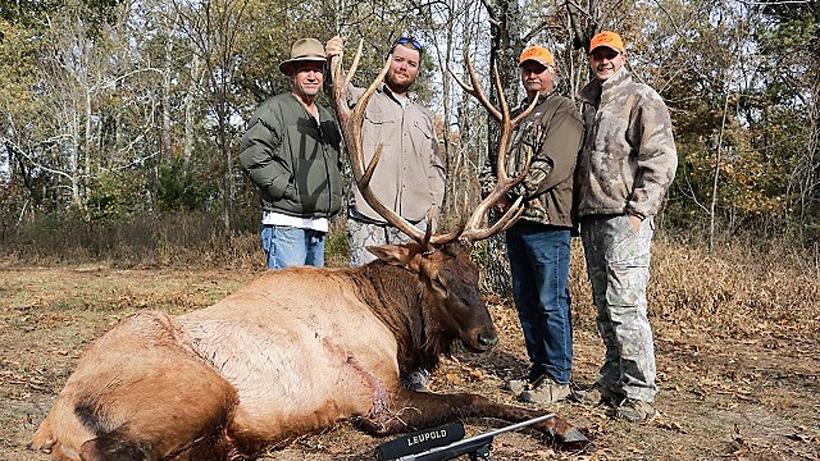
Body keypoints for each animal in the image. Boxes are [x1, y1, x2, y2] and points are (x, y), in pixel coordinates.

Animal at [29, 42, 589, 461]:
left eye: (474, 272)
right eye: (436, 280)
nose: (487, 337)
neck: (391, 320)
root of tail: (52, 421)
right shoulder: (377, 399)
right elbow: (471, 397)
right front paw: (565, 424)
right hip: (200, 387)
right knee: (112, 451)